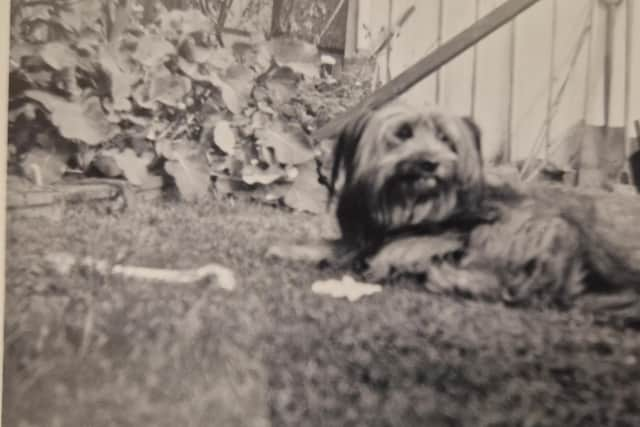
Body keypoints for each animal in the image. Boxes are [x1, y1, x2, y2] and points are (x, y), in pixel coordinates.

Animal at [328, 103, 640, 318]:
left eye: (445, 138)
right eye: (403, 133)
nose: (429, 163)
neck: (415, 208)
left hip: (552, 230)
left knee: (535, 289)